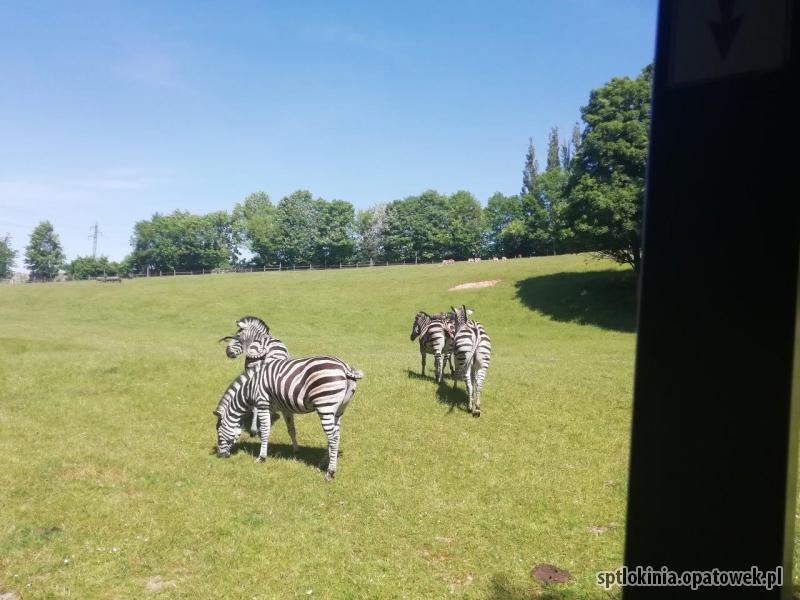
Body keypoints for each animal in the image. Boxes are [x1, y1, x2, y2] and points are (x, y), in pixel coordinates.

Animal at [212, 356, 362, 478]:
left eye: (219, 434)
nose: (220, 456)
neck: (249, 388)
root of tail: (344, 367)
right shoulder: (285, 409)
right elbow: (291, 430)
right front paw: (296, 451)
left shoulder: (262, 404)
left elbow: (265, 431)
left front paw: (261, 457)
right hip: (338, 410)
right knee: (336, 435)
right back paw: (323, 464)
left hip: (325, 405)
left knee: (333, 437)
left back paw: (330, 472)